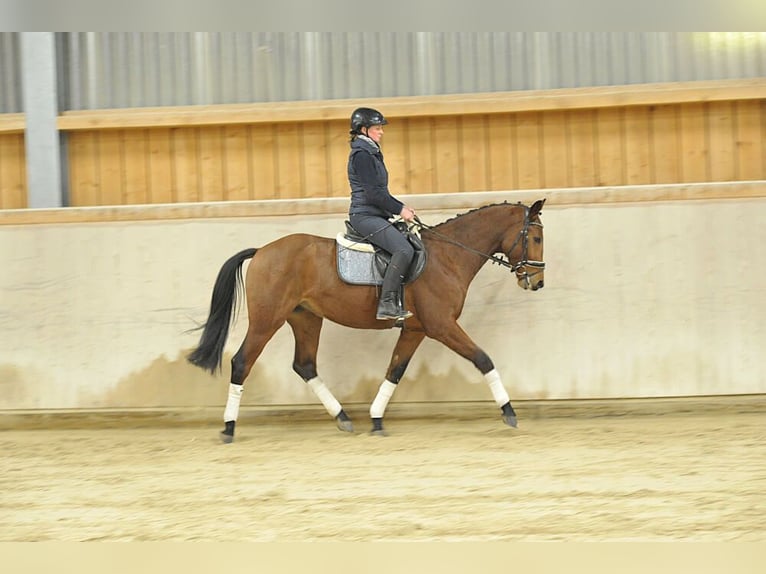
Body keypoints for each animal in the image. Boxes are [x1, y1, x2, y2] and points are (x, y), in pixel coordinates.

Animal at [187, 198, 546, 442]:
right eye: (537, 238)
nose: (537, 282)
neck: (447, 257)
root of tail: (262, 251)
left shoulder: (416, 329)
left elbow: (395, 371)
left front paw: (376, 419)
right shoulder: (442, 326)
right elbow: (483, 359)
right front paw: (509, 412)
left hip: (306, 319)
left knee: (305, 365)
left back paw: (343, 417)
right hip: (267, 319)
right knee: (242, 362)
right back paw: (229, 427)